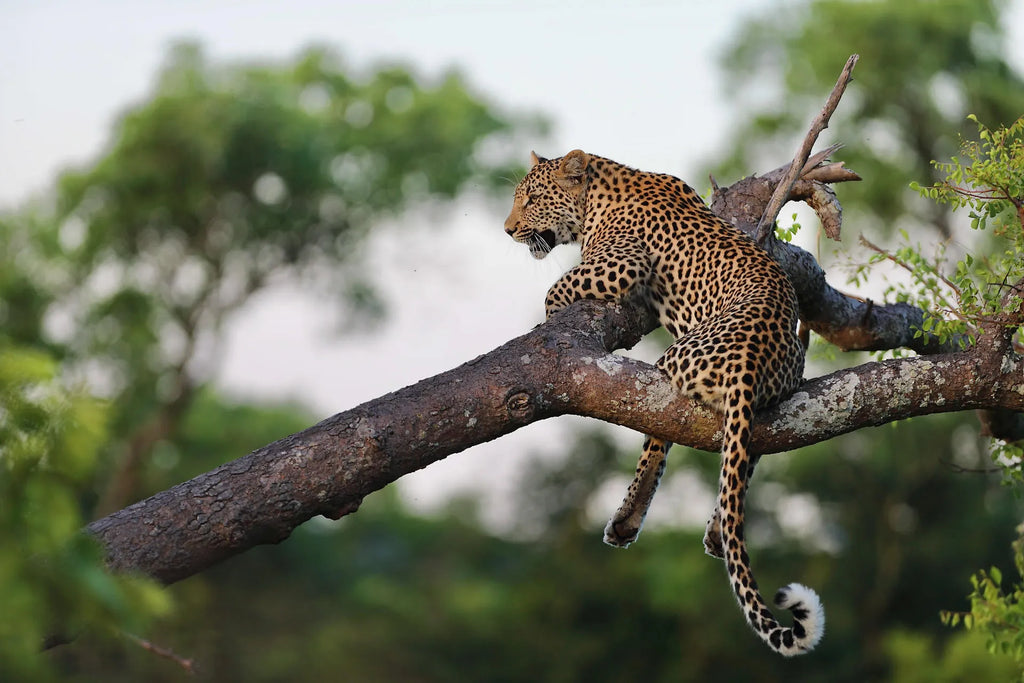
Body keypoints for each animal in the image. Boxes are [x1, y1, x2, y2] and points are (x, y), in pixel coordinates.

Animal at [503, 149, 825, 656]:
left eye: (531, 199)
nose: (508, 229)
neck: (600, 187)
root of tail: (751, 361)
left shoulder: (622, 260)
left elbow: (554, 290)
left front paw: (549, 316)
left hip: (670, 364)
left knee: (659, 436)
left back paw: (627, 520)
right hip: (775, 397)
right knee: (744, 458)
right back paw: (716, 530)